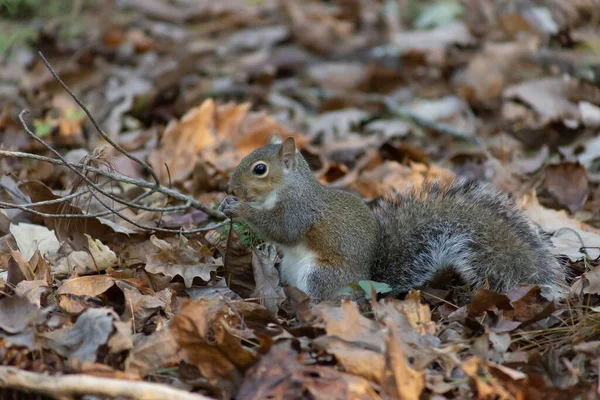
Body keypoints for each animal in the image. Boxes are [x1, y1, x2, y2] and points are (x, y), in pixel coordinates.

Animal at [220, 136, 568, 302]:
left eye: (260, 169)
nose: (230, 187)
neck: (288, 187)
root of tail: (370, 284)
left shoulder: (300, 210)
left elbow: (284, 230)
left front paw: (240, 209)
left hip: (322, 275)